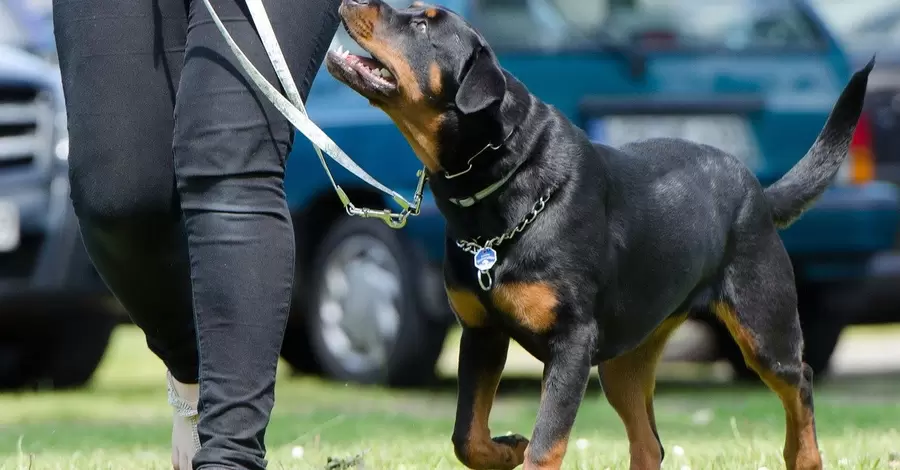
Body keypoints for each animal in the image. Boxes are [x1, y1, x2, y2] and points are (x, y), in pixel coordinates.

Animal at [322, 1, 872, 468]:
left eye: (422, 25)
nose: (352, 0)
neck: (500, 184)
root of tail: (757, 190)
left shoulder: (572, 342)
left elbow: (545, 444)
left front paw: (523, 447)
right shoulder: (482, 332)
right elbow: (466, 437)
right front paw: (506, 446)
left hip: (762, 323)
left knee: (799, 380)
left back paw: (804, 456)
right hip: (625, 360)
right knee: (649, 444)